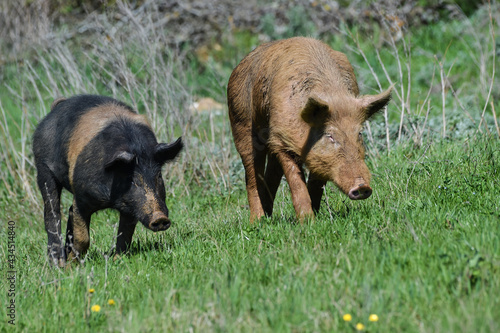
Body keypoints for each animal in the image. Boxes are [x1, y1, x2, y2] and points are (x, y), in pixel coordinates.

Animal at [32, 94, 184, 266]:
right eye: (131, 179)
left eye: (158, 176)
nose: (160, 217)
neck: (112, 200)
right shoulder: (82, 196)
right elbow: (83, 236)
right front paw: (71, 265)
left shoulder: (132, 207)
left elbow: (125, 235)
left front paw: (118, 261)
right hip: (43, 167)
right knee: (52, 213)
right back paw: (57, 263)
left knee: (69, 211)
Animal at [228, 37, 394, 220]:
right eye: (329, 135)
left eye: (359, 133)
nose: (362, 186)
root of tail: (240, 64)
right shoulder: (281, 140)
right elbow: (296, 182)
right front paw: (308, 221)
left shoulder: (312, 153)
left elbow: (315, 184)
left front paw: (316, 216)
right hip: (240, 120)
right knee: (252, 173)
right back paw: (257, 221)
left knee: (271, 174)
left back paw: (269, 218)